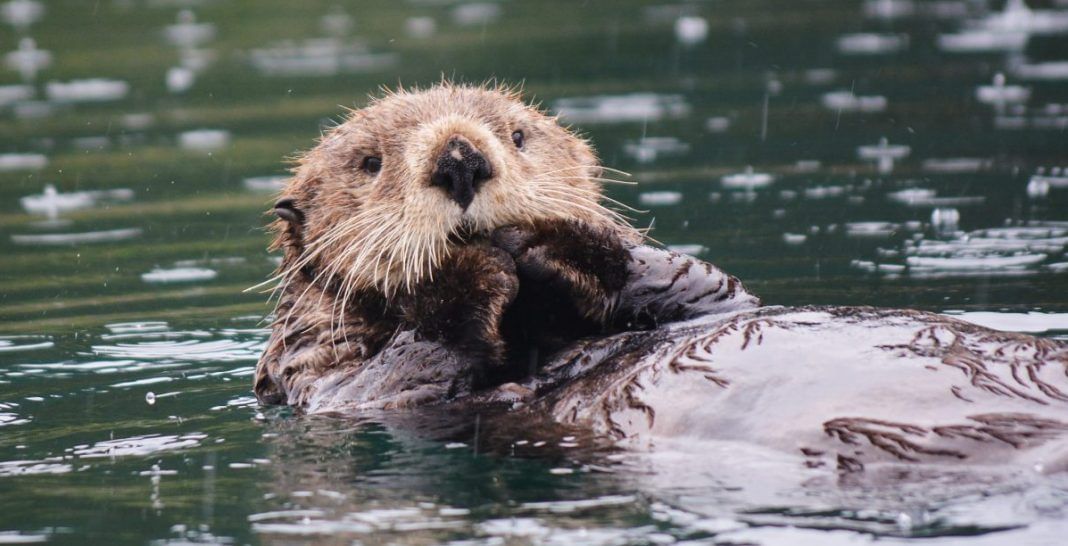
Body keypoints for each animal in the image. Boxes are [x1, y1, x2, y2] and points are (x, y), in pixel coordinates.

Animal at [254, 82, 1068, 471]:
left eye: (517, 135)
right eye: (370, 163)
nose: (461, 158)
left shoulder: (708, 298)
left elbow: (699, 285)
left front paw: (555, 241)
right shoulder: (329, 382)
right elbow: (394, 380)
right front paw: (472, 267)